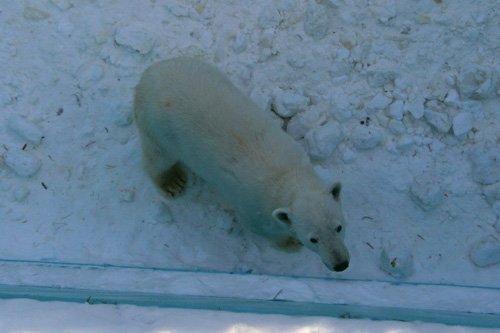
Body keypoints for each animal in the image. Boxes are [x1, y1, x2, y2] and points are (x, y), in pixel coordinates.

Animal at [135, 56, 350, 270]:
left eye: (339, 227)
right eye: (313, 239)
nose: (341, 264)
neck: (287, 177)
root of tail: (147, 76)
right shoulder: (255, 210)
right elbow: (266, 230)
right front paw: (291, 243)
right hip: (159, 127)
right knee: (158, 156)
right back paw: (172, 183)